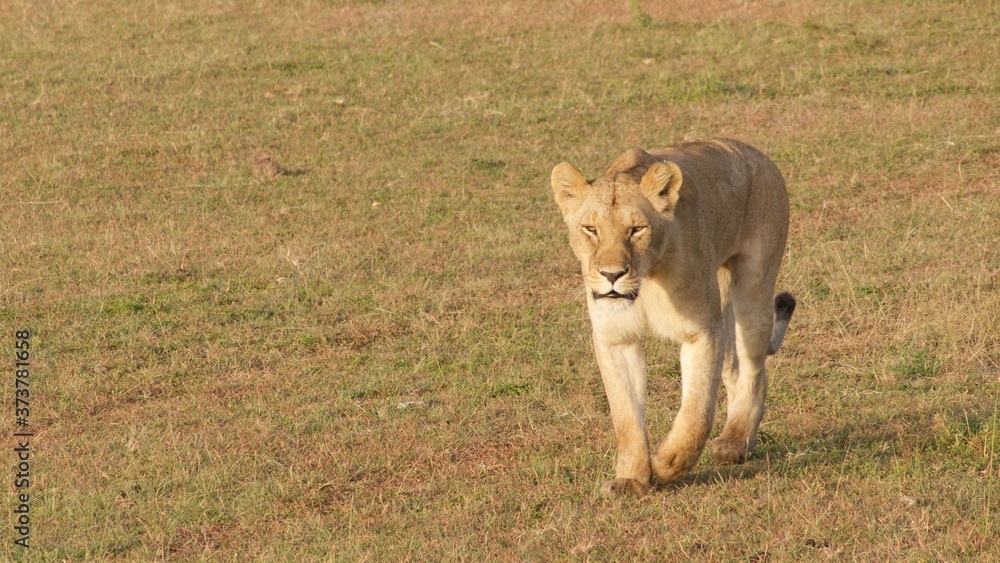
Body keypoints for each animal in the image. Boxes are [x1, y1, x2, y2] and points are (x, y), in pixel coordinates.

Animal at [551, 138, 795, 496]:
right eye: (591, 229)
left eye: (637, 229)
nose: (612, 275)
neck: (646, 281)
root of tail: (755, 152)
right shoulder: (615, 338)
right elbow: (625, 415)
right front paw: (632, 479)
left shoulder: (701, 331)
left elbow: (697, 411)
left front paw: (669, 464)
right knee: (735, 369)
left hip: (754, 285)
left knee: (754, 370)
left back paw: (735, 442)